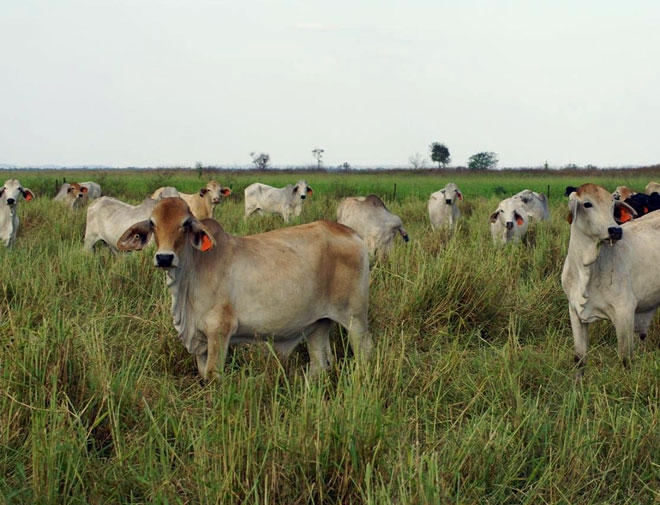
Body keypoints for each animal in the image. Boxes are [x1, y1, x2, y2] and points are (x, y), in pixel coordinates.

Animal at [117, 197, 372, 381]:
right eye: (152, 223)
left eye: (186, 223)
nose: (164, 258)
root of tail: (353, 234)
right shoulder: (201, 340)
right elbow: (203, 373)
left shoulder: (220, 330)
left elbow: (213, 374)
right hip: (317, 324)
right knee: (319, 365)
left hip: (355, 319)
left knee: (364, 357)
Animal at [561, 183, 660, 376]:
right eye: (587, 204)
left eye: (613, 205)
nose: (615, 230)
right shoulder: (574, 312)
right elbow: (579, 359)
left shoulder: (625, 312)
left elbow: (625, 359)